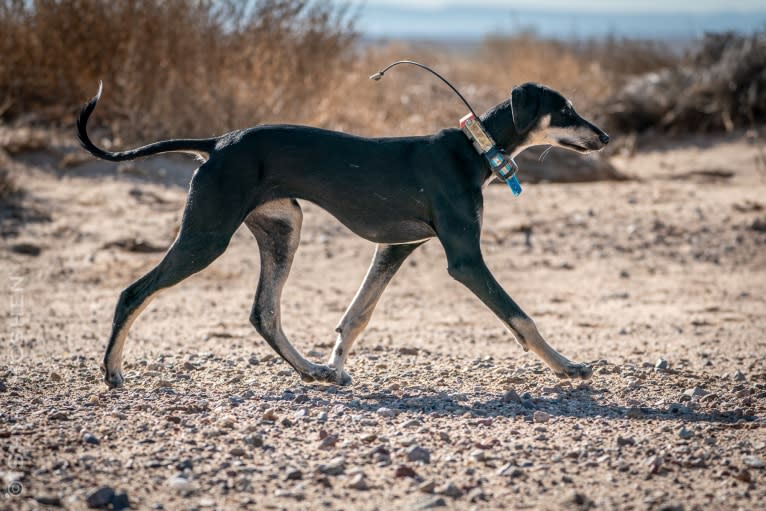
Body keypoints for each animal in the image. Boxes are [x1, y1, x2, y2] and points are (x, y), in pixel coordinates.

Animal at [78, 81, 612, 388]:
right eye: (566, 111)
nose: (605, 136)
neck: (472, 149)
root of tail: (218, 142)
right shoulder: (464, 259)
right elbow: (521, 317)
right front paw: (568, 366)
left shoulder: (396, 247)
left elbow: (357, 315)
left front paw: (334, 361)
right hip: (207, 236)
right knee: (133, 292)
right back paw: (112, 371)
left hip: (283, 229)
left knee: (264, 313)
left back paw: (311, 371)